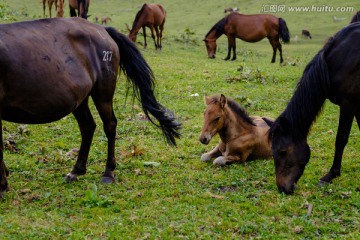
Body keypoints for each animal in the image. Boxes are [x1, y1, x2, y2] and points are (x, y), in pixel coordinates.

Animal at [0, 16, 181, 197]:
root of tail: (102, 30)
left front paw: (2, 184)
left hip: (103, 93)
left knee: (109, 125)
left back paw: (108, 172)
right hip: (80, 99)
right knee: (88, 127)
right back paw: (77, 170)